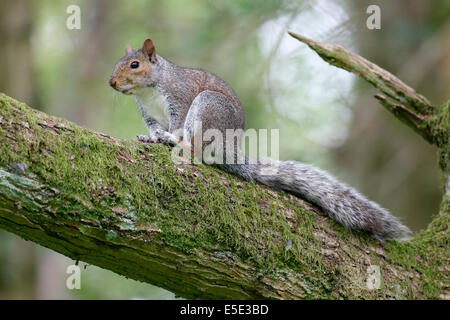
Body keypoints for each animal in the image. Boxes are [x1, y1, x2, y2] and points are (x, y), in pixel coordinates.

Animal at [109, 38, 412, 240]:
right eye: (118, 63)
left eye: (135, 64)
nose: (112, 83)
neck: (149, 90)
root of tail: (229, 148)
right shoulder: (148, 114)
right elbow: (153, 128)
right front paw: (151, 139)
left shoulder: (180, 100)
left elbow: (176, 124)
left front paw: (168, 137)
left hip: (208, 108)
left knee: (196, 149)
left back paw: (178, 145)